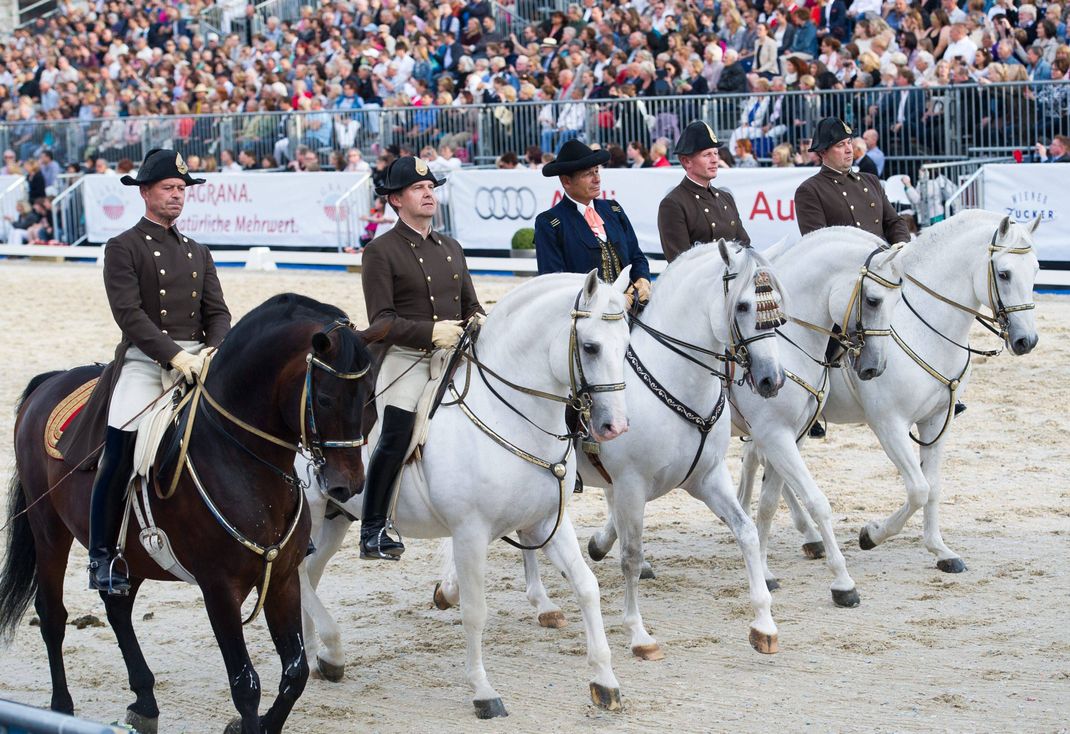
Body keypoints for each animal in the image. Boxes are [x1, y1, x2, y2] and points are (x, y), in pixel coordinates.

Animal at [0, 293, 378, 734]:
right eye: (326, 399)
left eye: (369, 395)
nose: (347, 485)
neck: (242, 459)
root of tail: (53, 380)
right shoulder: (219, 588)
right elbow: (246, 685)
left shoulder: (281, 579)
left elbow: (295, 673)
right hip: (49, 531)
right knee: (53, 616)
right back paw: (61, 707)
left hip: (131, 553)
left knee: (118, 608)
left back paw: (145, 702)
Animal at [299, 268, 633, 719]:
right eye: (591, 346)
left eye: (627, 344)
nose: (615, 426)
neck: (511, 415)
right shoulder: (470, 533)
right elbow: (475, 612)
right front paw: (483, 691)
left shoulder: (548, 521)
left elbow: (586, 587)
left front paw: (604, 681)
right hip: (310, 510)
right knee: (299, 574)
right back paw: (330, 650)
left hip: (335, 516)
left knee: (309, 573)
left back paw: (315, 655)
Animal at [440, 243, 787, 663]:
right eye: (744, 306)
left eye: (777, 306)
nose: (772, 379)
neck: (676, 379)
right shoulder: (630, 485)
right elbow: (631, 556)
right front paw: (638, 634)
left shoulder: (708, 477)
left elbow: (746, 532)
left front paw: (764, 625)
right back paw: (473, 589)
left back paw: (541, 603)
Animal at [744, 209, 1035, 577]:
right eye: (1004, 273)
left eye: (1036, 271)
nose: (1027, 341)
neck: (925, 328)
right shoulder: (889, 424)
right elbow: (918, 489)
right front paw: (871, 534)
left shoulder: (937, 421)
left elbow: (933, 487)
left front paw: (941, 550)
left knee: (759, 461)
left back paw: (803, 534)